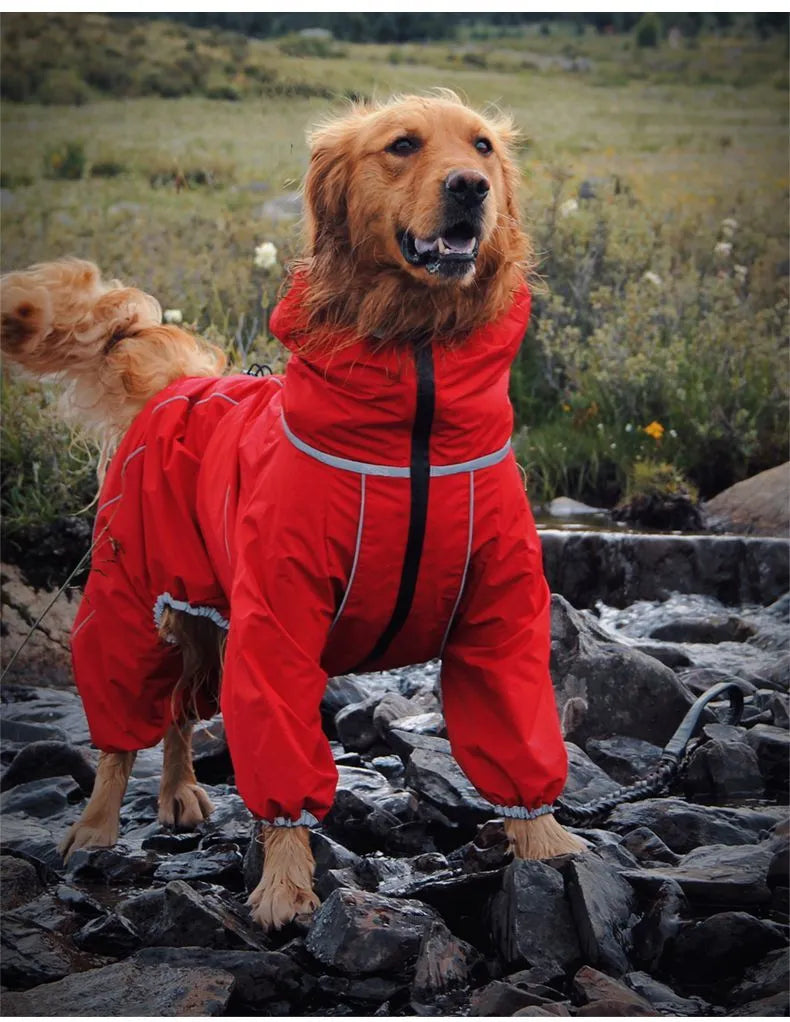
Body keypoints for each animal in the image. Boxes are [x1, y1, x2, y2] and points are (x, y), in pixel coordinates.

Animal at [0, 91, 580, 932]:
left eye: (482, 147)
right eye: (402, 145)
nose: (472, 188)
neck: (417, 390)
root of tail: (184, 381)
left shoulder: (499, 611)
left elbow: (518, 730)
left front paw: (549, 845)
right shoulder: (277, 619)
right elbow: (278, 759)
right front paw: (284, 883)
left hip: (203, 612)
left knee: (180, 709)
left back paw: (179, 791)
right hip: (131, 598)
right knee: (125, 722)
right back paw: (98, 825)